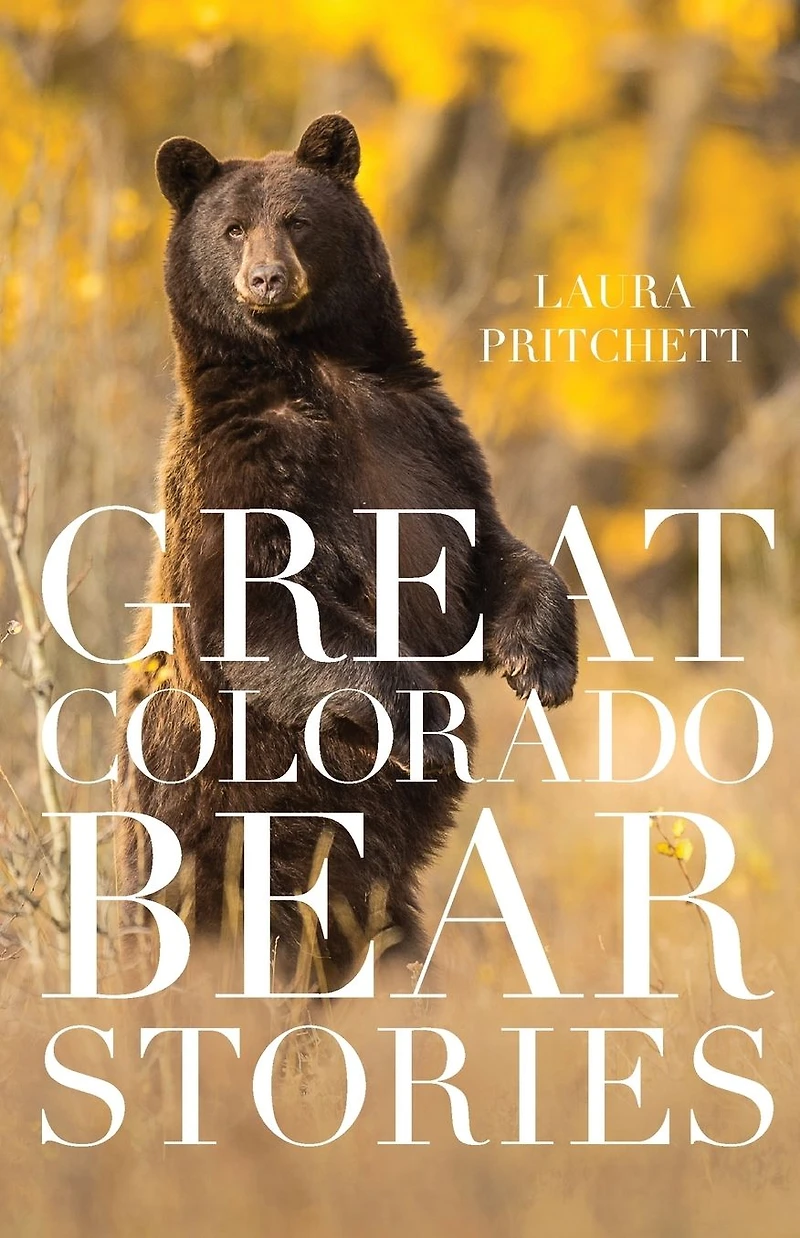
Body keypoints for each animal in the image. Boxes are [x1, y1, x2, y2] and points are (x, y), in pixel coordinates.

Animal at [115, 114, 578, 990]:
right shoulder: (247, 469)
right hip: (238, 833)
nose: (266, 279)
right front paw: (433, 726)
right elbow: (257, 611)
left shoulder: (425, 449)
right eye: (232, 228)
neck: (312, 365)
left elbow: (490, 561)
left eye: (298, 219)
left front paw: (542, 663)